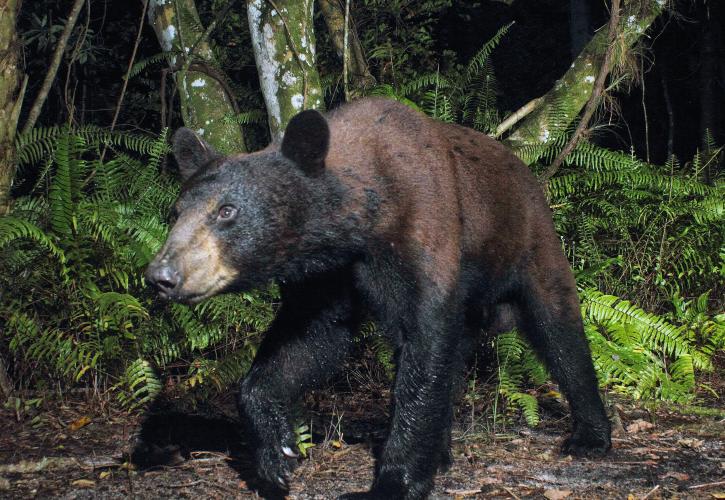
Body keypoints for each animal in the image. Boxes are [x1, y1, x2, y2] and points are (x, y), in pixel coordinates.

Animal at [147, 96, 612, 496]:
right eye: (176, 212)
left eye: (227, 211)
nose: (161, 275)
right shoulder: (331, 272)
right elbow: (312, 337)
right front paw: (275, 450)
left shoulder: (422, 227)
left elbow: (423, 343)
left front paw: (393, 481)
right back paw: (442, 452)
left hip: (531, 241)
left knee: (558, 328)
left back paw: (590, 436)